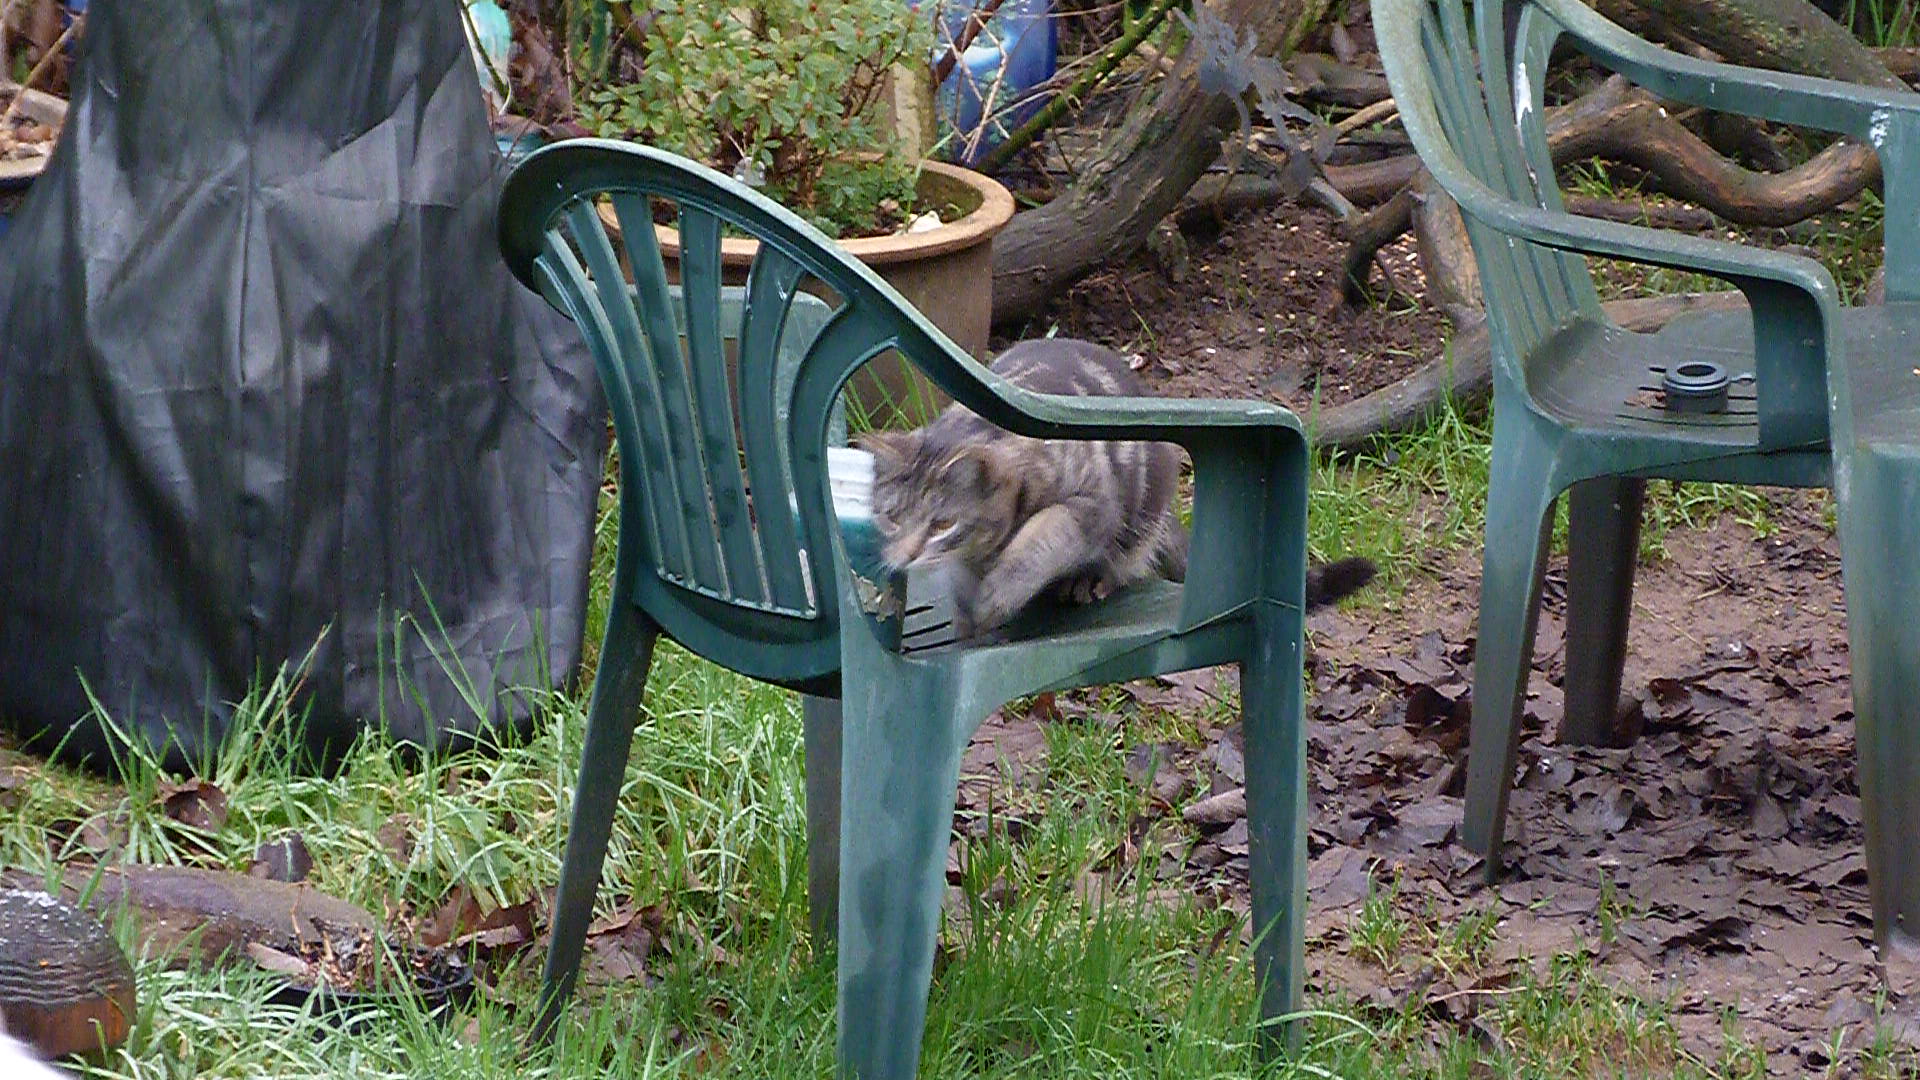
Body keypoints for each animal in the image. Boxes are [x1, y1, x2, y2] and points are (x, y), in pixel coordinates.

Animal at [857, 337, 1376, 640]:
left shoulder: (1091, 503)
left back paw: (1089, 579)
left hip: (1139, 515)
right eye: (891, 516)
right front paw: (969, 606)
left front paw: (998, 592)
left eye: (942, 523)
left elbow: (1039, 540)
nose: (901, 557)